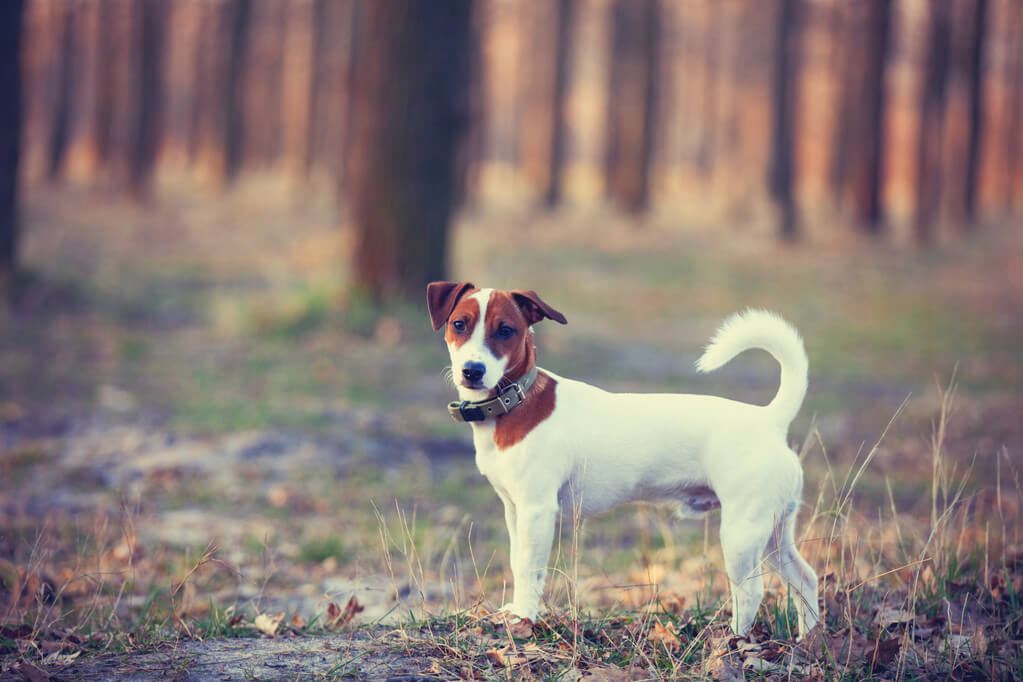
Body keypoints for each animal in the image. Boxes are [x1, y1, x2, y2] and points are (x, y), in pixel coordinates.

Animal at [427, 282, 818, 642]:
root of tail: (769, 420)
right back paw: (809, 640)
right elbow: (515, 560)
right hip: (774, 532)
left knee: (751, 591)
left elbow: (528, 568)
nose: (472, 370)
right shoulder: (514, 510)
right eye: (459, 324)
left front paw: (524, 618)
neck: (518, 401)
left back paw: (734, 639)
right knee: (804, 578)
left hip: (741, 532)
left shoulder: (537, 511)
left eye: (505, 330)